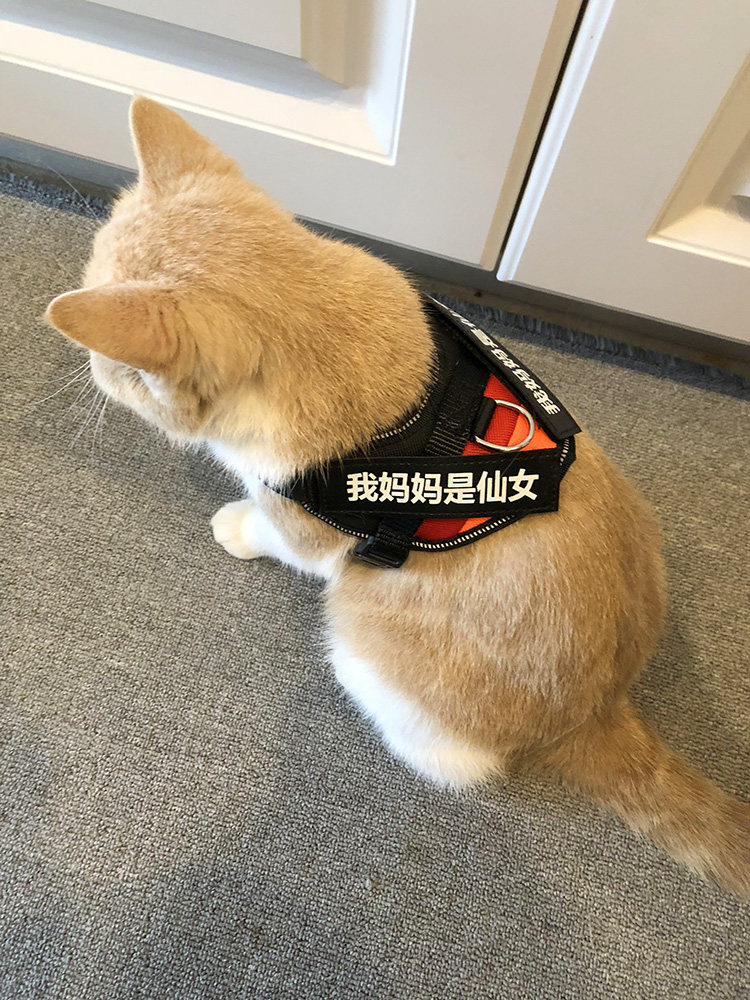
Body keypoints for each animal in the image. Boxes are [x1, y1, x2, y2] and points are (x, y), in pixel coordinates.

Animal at [46, 97, 749, 895]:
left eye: (110, 365)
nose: (91, 374)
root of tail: (600, 710)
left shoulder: (309, 527)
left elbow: (274, 531)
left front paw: (237, 523)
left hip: (360, 627)